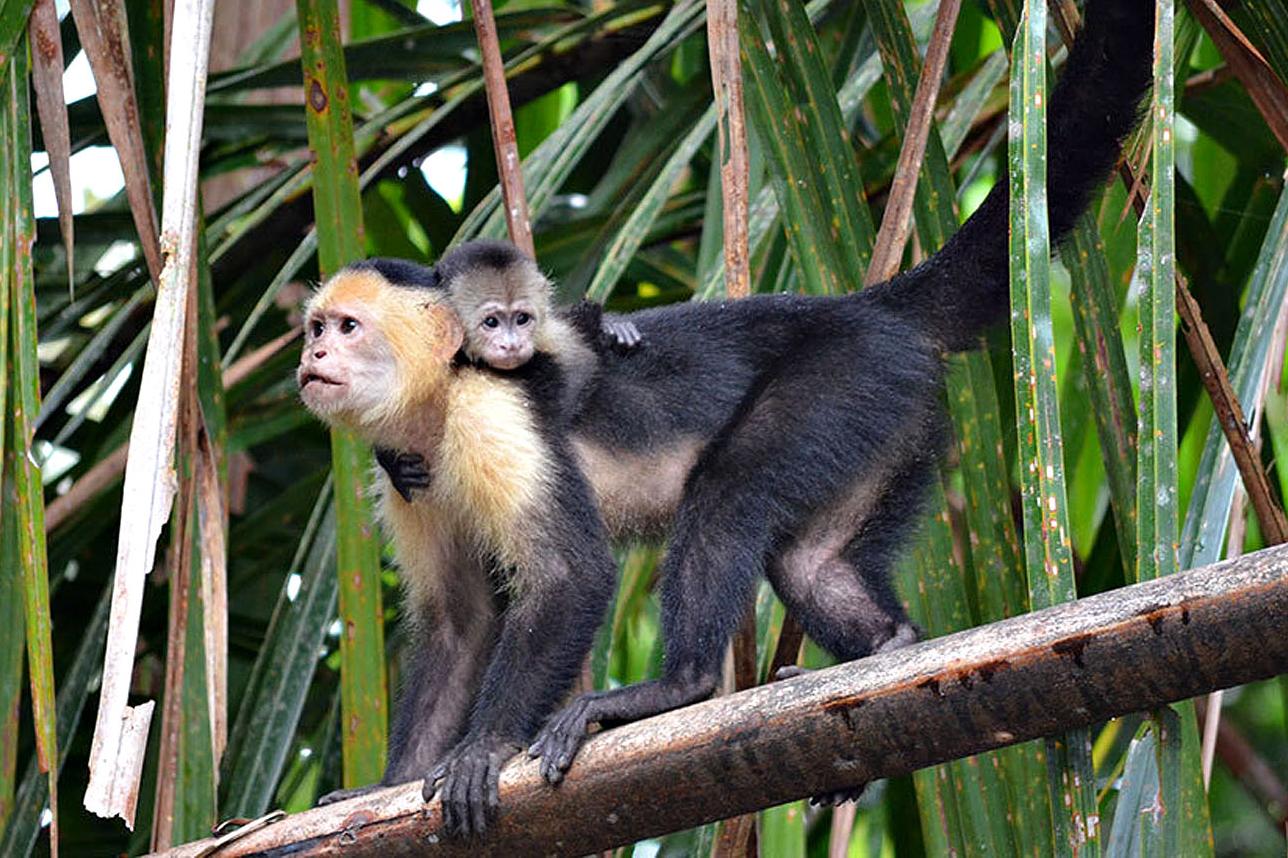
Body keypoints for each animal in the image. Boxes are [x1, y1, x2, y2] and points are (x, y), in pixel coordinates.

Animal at [299, 0, 1154, 836]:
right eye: (315, 328)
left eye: (347, 327)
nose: (314, 356)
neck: (437, 402)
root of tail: (866, 309)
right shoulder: (404, 468)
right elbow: (461, 621)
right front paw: (387, 785)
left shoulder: (492, 411)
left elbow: (571, 574)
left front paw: (484, 746)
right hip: (892, 415)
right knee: (810, 560)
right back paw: (892, 646)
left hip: (845, 375)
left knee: (729, 490)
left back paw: (677, 687)